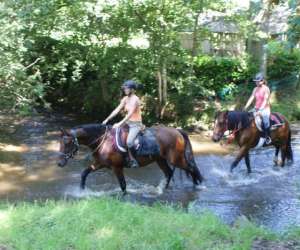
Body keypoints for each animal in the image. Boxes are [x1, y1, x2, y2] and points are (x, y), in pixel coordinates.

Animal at [56, 124, 202, 192]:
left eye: (67, 143)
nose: (59, 163)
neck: (104, 140)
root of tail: (177, 131)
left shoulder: (117, 167)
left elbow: (123, 185)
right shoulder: (99, 163)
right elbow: (84, 173)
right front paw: (81, 190)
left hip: (176, 159)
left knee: (191, 169)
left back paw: (198, 185)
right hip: (160, 160)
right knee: (169, 173)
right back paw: (161, 190)